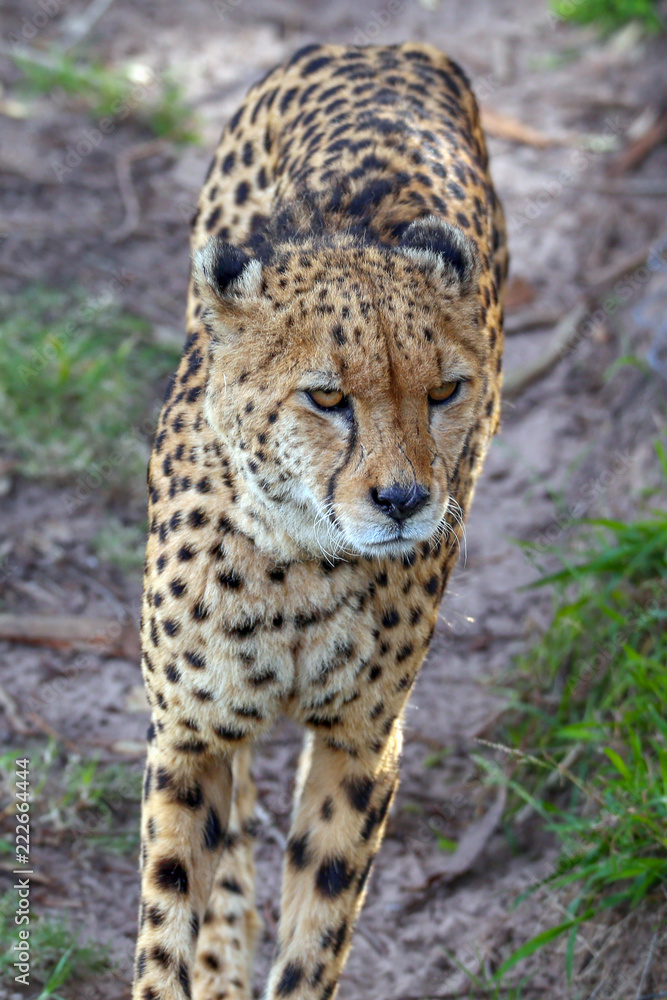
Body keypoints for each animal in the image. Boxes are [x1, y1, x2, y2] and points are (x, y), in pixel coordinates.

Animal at [132, 41, 507, 1000]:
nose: (404, 501)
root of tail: (381, 47)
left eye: (444, 391)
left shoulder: (363, 740)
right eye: (327, 399)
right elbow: (167, 911)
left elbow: (320, 921)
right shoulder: (185, 732)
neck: (298, 560)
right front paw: (196, 957)